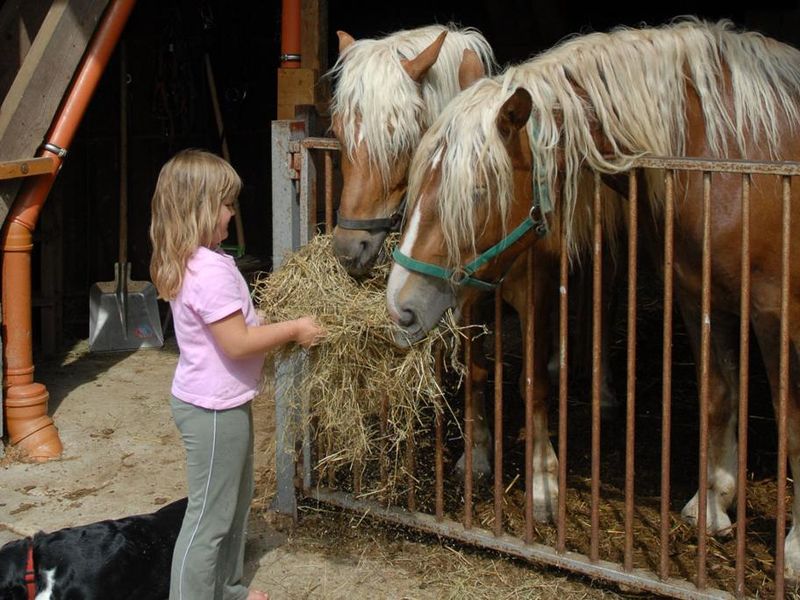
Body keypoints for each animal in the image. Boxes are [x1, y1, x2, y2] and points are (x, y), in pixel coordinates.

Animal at [386, 17, 800, 580]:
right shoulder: (700, 297)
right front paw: (713, 504)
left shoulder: (774, 313)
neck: (730, 156)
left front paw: (794, 548)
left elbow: (790, 422)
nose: (400, 306)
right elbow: (719, 395)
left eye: (475, 193)